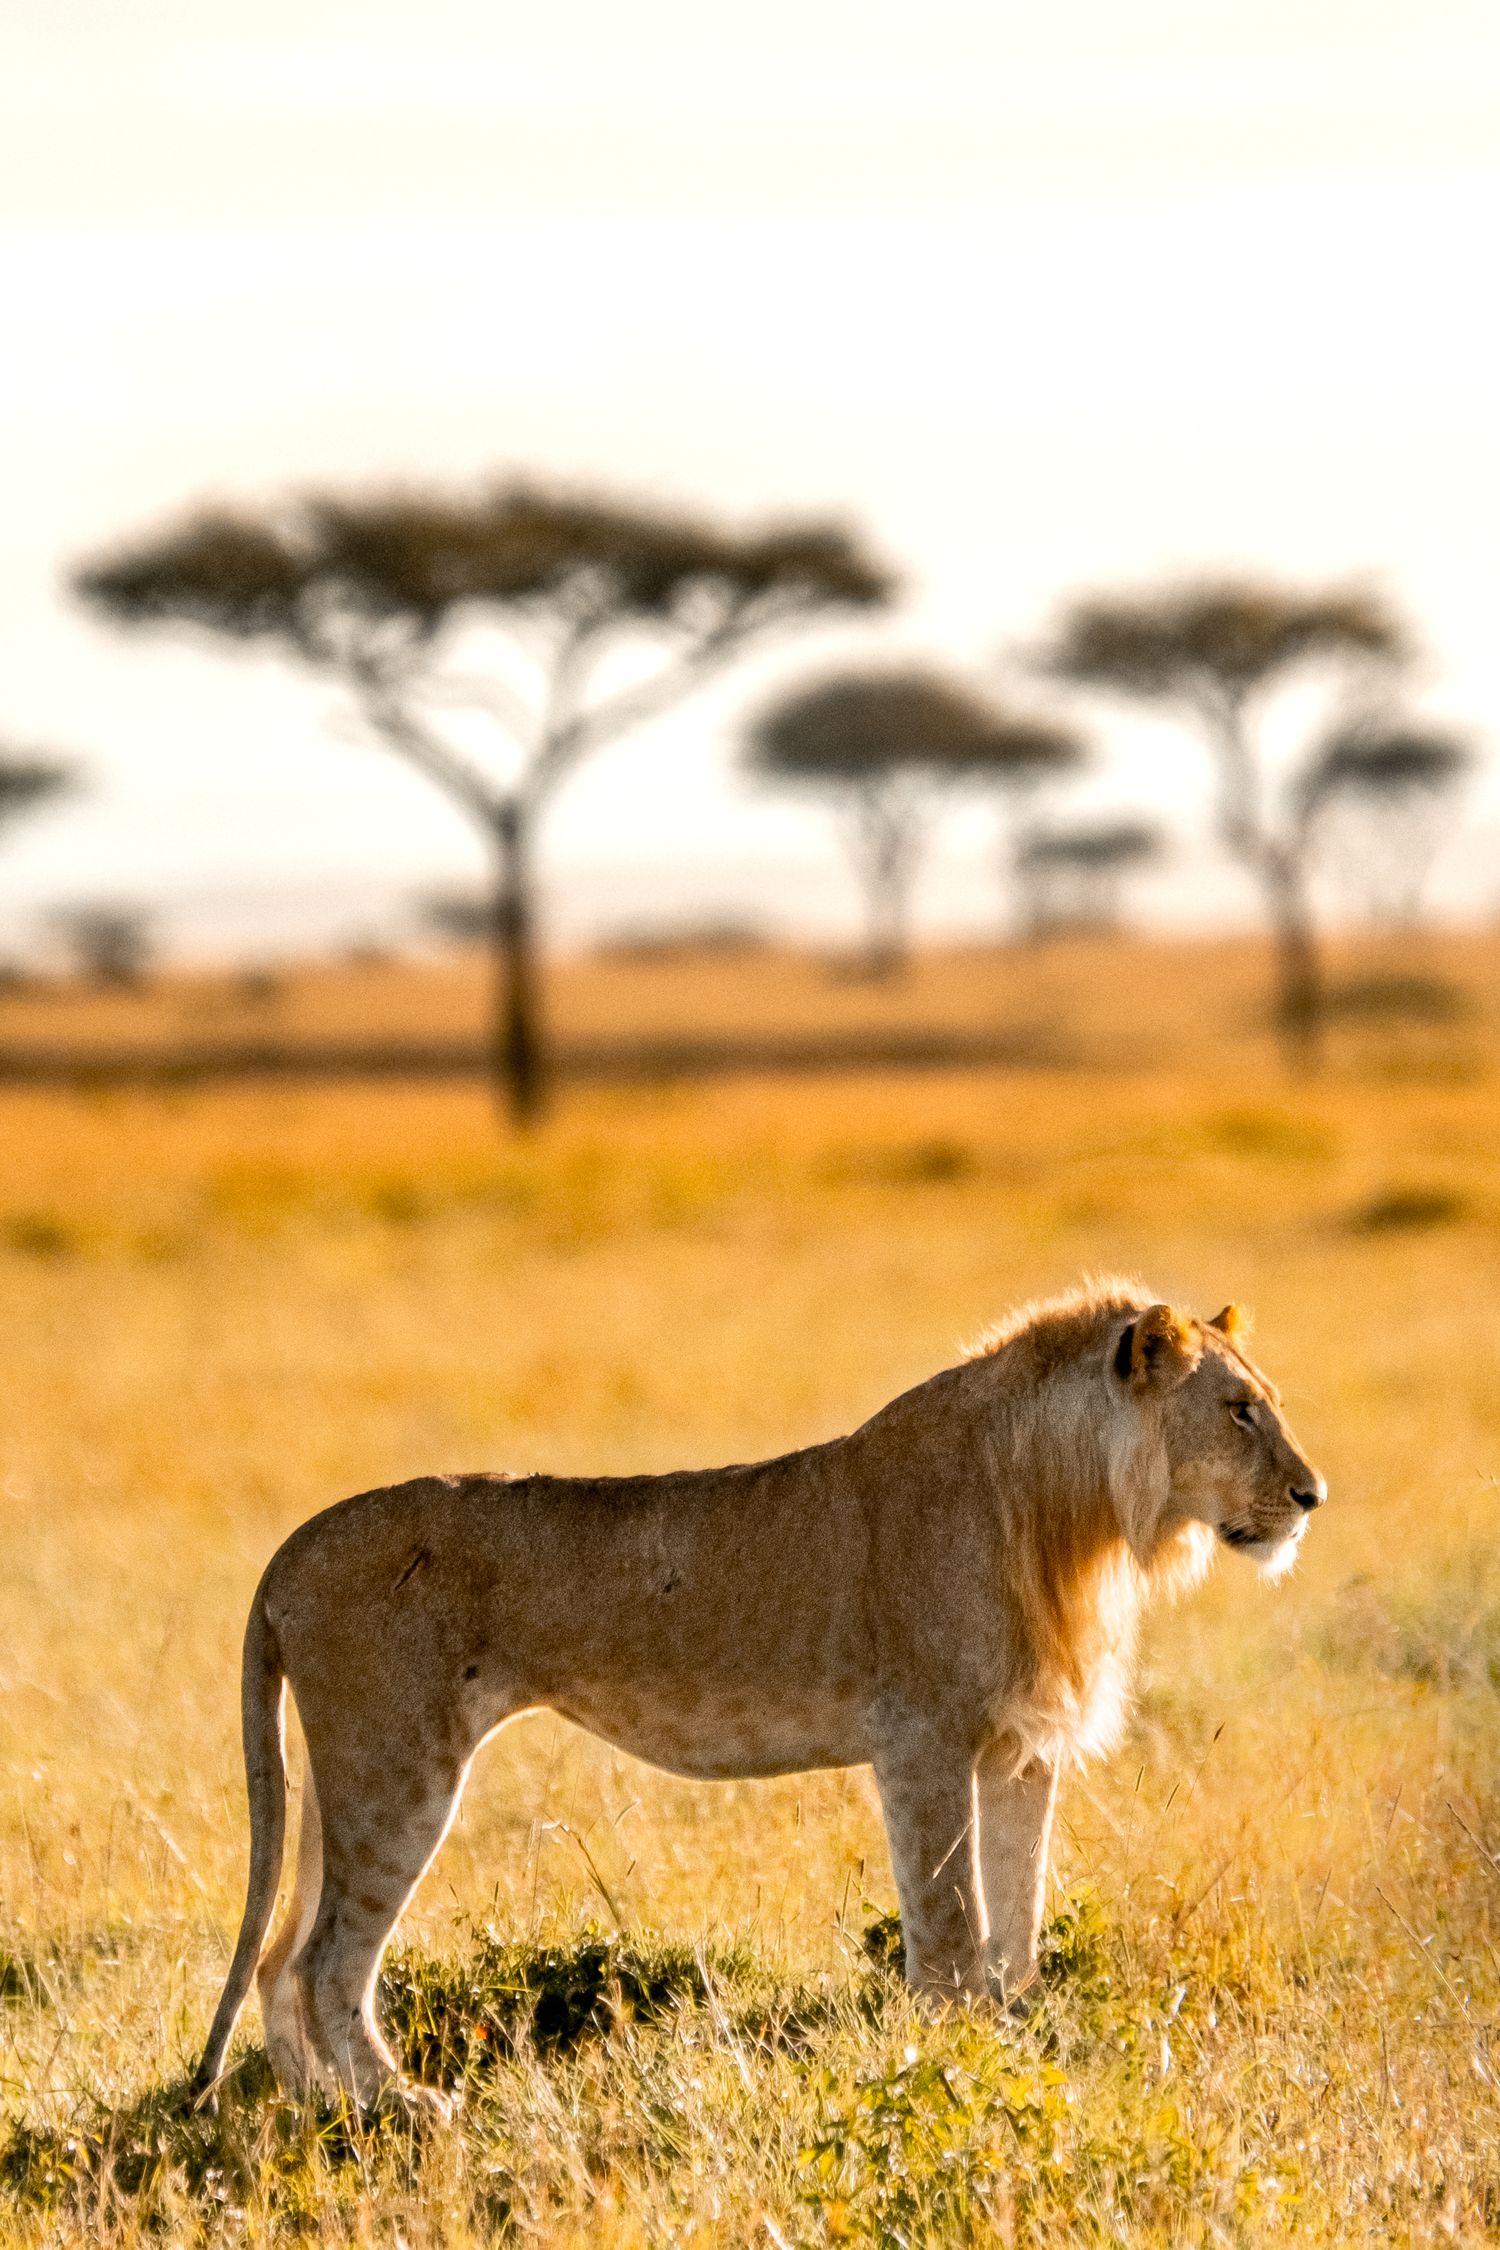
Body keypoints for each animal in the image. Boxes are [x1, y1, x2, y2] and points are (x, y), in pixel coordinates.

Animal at [193, 1278, 1325, 2114]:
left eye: (1267, 1399)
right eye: (1239, 1410)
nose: (1313, 1496)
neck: (1074, 1513)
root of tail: (287, 1552)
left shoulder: (1019, 1748)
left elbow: (1019, 1920)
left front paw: (1019, 2037)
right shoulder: (922, 1739)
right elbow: (950, 1930)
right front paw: (958, 2060)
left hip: (338, 1782)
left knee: (279, 1954)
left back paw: (306, 2108)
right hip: (399, 1772)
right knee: (326, 1962)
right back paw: (393, 2109)